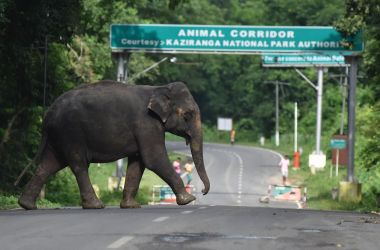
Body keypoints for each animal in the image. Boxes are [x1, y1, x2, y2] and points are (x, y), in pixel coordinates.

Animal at [18, 81, 211, 210]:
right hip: (71, 132)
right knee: (78, 164)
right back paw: (96, 205)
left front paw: (131, 206)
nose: (202, 191)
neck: (159, 88)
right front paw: (188, 199)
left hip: (59, 135)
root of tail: (48, 113)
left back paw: (27, 205)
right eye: (188, 114)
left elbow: (138, 162)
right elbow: (153, 158)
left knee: (49, 165)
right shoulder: (146, 124)